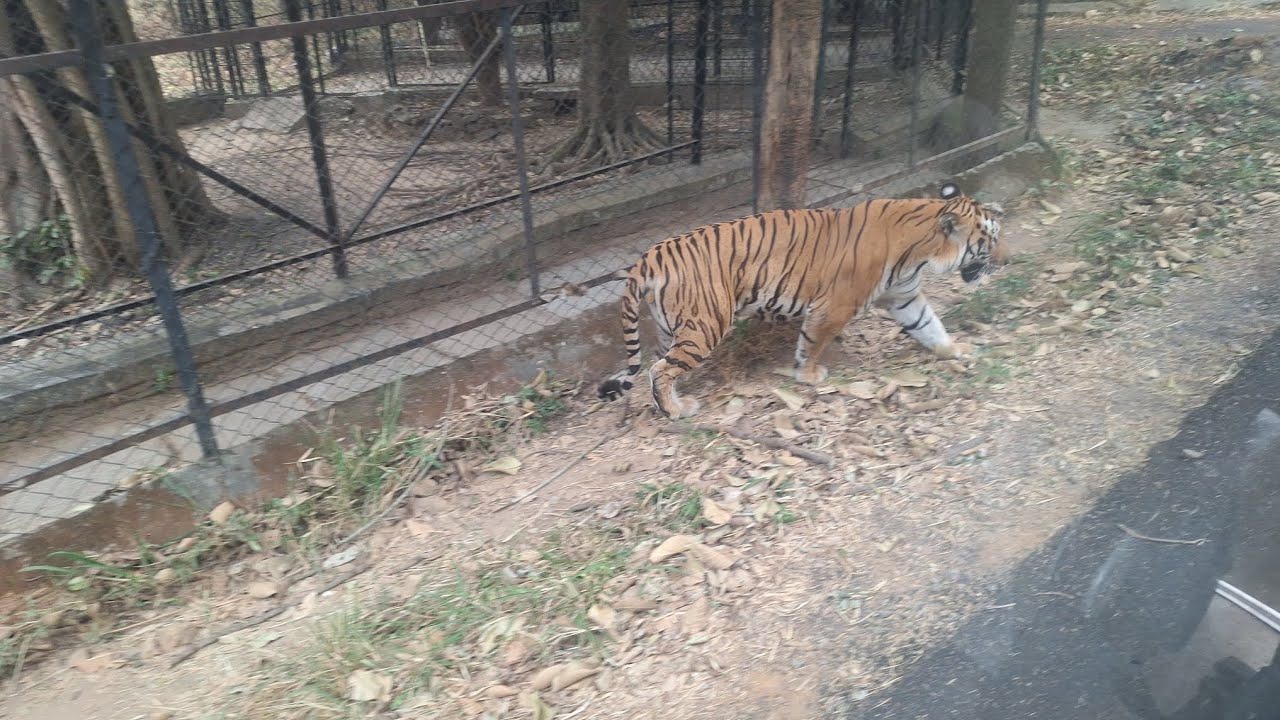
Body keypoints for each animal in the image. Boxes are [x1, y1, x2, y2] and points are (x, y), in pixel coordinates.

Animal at [596, 182, 1004, 419]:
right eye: (990, 240)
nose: (1006, 260)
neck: (920, 251)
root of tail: (650, 255)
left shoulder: (904, 298)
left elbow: (930, 325)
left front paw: (955, 350)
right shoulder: (835, 306)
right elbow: (813, 341)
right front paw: (808, 374)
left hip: (673, 327)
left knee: (661, 366)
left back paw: (669, 403)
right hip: (705, 326)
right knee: (659, 369)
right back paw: (677, 411)